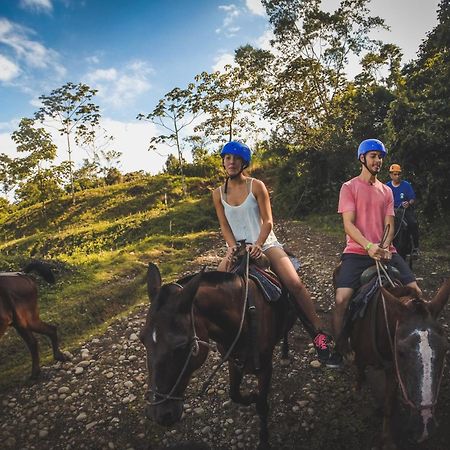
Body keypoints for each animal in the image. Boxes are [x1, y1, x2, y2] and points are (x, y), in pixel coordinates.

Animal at [342, 270, 450, 446]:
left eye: (445, 348)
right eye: (400, 352)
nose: (424, 424)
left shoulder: (393, 370)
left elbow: (389, 405)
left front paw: (386, 440)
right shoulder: (362, 356)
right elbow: (359, 367)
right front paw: (357, 388)